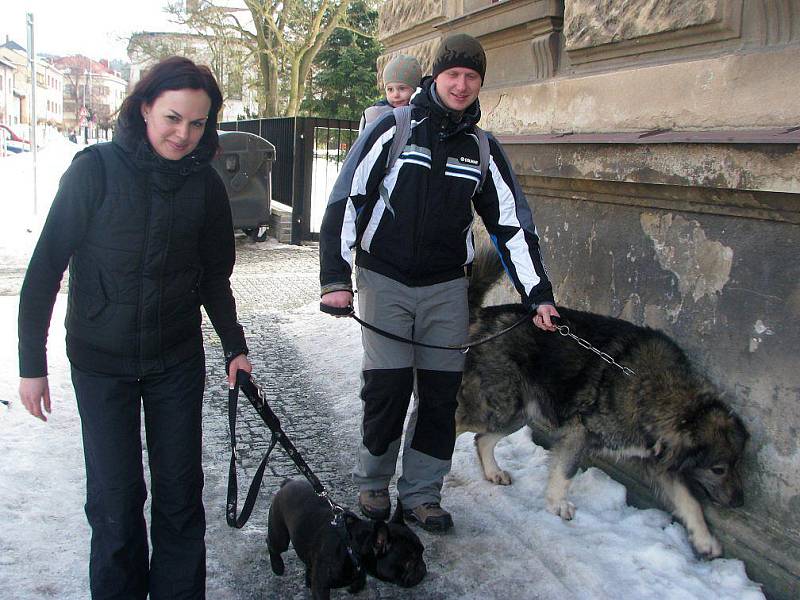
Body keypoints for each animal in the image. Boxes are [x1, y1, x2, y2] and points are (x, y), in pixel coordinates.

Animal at [456, 246, 752, 560]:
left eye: (737, 463)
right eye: (718, 469)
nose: (739, 501)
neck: (652, 387)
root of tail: (483, 316)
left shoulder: (659, 463)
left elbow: (690, 502)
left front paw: (705, 540)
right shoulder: (579, 431)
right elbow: (566, 470)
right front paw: (557, 504)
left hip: (519, 411)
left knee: (482, 439)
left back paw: (493, 472)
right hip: (497, 406)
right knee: (458, 424)